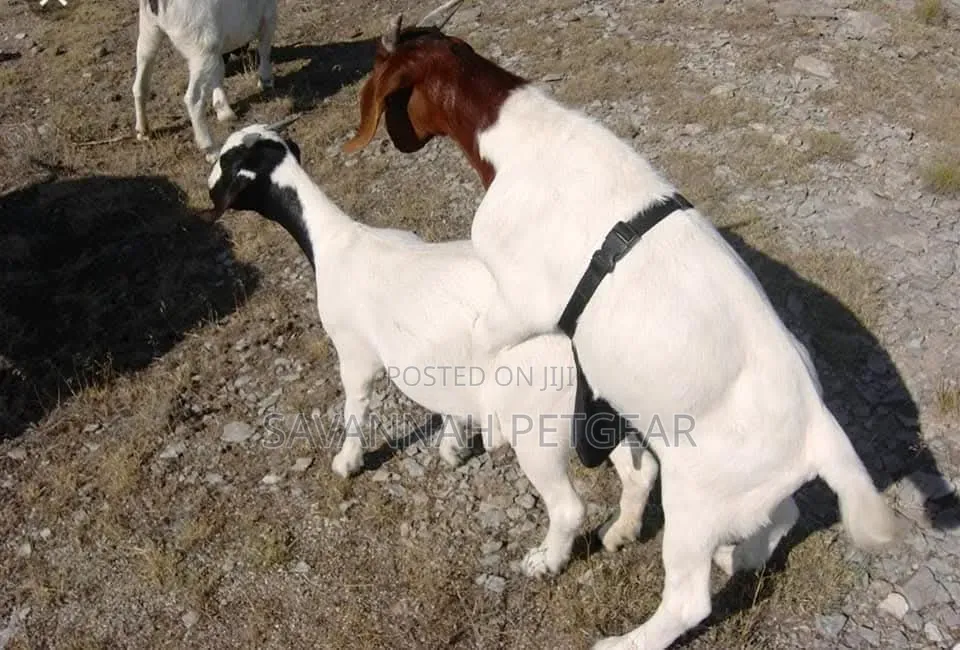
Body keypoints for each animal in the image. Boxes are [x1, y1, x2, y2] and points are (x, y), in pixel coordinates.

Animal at [133, 0, 277, 161]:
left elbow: (219, 71)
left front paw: (224, 110)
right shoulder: (268, 13)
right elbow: (264, 48)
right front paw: (265, 80)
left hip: (149, 32)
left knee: (140, 85)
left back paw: (143, 131)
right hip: (201, 46)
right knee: (193, 99)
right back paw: (210, 149)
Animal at [202, 122, 661, 577]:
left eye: (226, 161)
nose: (207, 188)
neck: (337, 241)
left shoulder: (354, 351)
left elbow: (355, 407)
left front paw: (347, 461)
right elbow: (448, 402)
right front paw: (452, 447)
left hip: (537, 422)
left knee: (568, 508)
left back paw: (546, 561)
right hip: (602, 408)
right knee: (643, 472)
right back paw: (619, 533)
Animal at [343, 17, 899, 650]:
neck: (526, 135)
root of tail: (819, 430)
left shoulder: (518, 302)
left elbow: (482, 341)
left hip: (696, 501)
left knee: (689, 600)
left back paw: (629, 638)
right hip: (749, 492)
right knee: (783, 517)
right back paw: (732, 553)